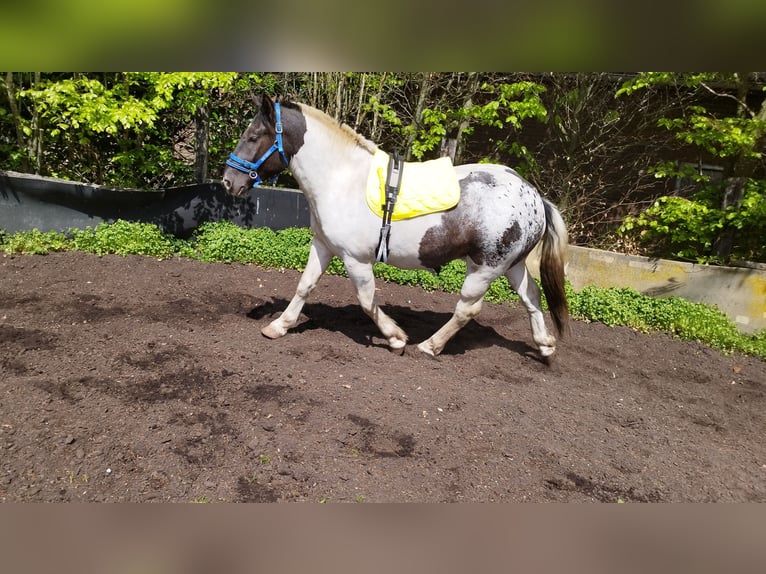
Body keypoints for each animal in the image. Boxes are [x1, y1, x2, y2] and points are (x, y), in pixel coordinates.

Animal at [222, 95, 569, 360]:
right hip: (513, 266)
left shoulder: (355, 259)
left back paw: (430, 345)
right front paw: (279, 326)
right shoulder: (323, 245)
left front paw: (395, 337)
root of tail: (534, 195)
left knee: (467, 309)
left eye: (252, 136)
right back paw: (545, 345)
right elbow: (304, 286)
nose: (228, 181)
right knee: (532, 296)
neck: (341, 179)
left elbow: (366, 300)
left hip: (484, 268)